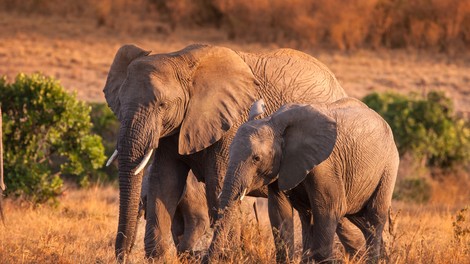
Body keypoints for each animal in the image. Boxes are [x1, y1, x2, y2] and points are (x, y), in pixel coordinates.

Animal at [103, 43, 356, 262]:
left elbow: (218, 185)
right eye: (119, 103)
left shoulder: (232, 121)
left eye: (162, 105)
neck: (180, 59)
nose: (124, 256)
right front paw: (157, 259)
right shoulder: (175, 129)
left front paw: (225, 257)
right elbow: (164, 183)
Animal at [215, 98, 398, 262]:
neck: (274, 122)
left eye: (256, 158)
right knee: (355, 219)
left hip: (388, 166)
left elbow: (329, 209)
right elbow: (279, 212)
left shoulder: (325, 166)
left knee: (374, 215)